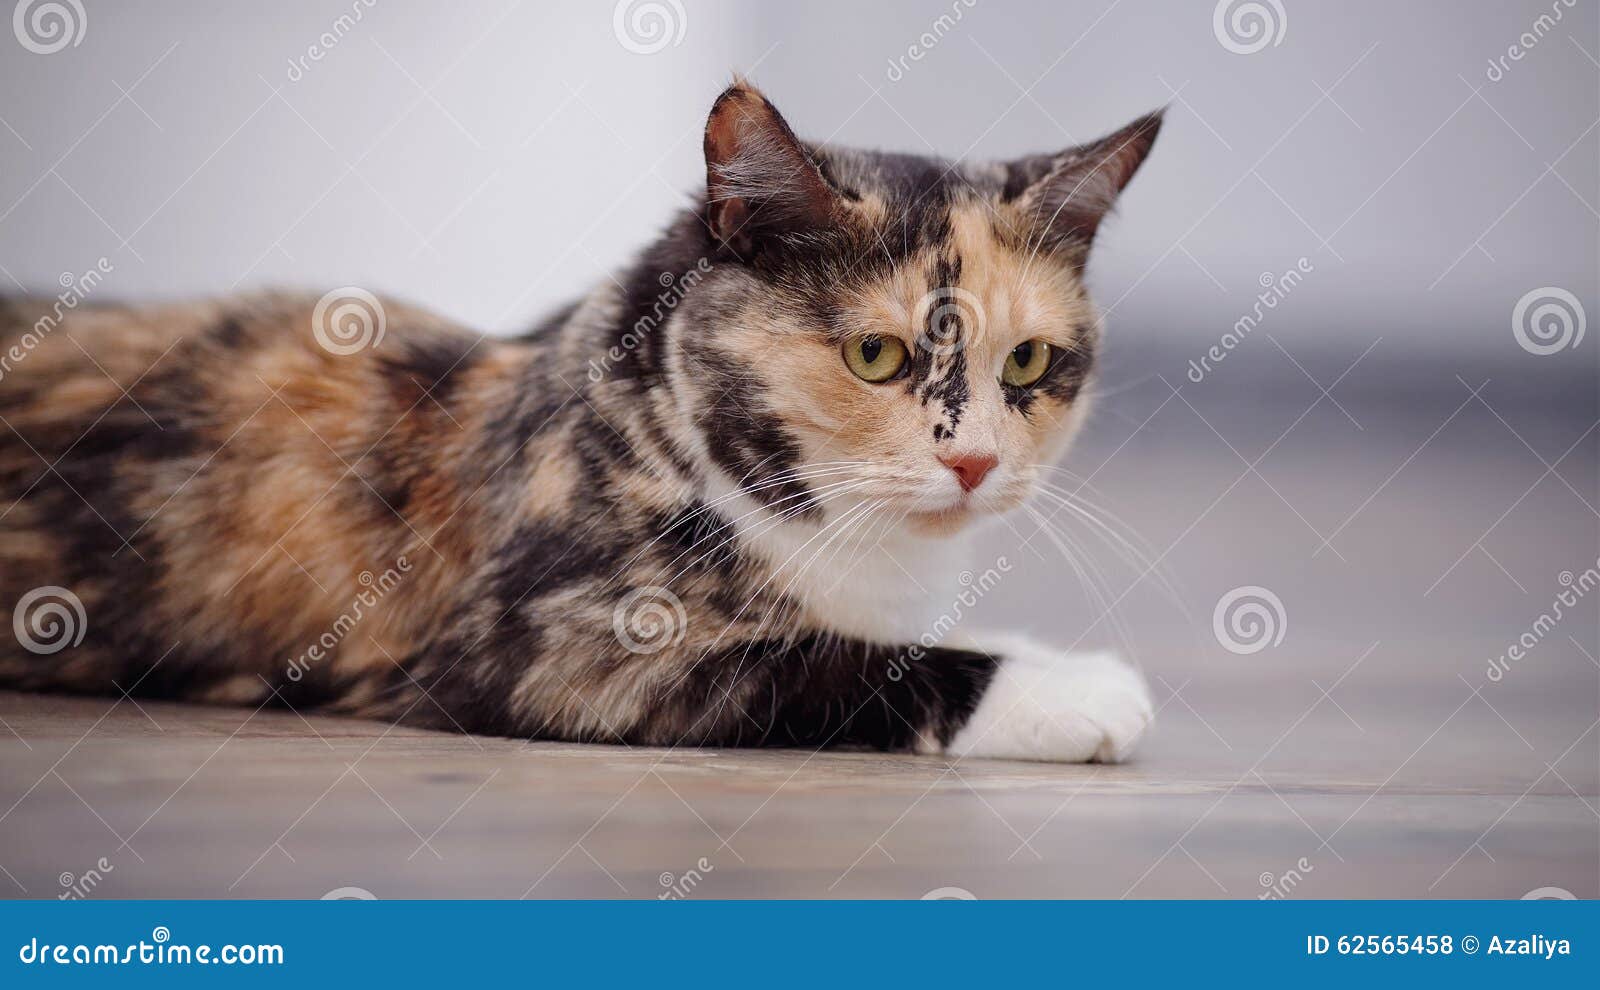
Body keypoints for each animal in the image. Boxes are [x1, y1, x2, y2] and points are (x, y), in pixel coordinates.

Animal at [6, 83, 1171, 767]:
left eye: (1028, 362)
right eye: (877, 356)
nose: (975, 461)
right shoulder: (559, 651)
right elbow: (843, 665)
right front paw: (1076, 688)